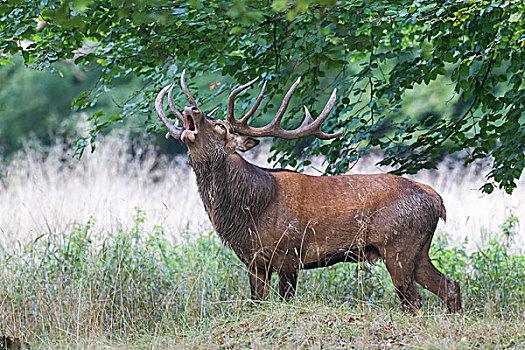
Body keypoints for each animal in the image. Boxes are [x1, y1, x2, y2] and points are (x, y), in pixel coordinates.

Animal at [154, 70, 460, 312]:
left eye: (219, 126)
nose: (191, 109)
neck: (251, 210)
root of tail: (438, 200)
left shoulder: (290, 252)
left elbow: (286, 300)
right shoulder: (254, 261)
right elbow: (256, 304)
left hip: (398, 244)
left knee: (414, 301)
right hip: (418, 249)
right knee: (450, 286)